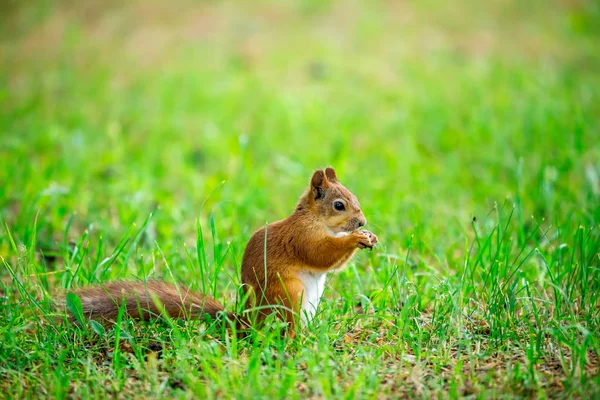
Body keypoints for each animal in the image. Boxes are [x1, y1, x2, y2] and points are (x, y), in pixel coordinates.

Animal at [70, 166, 378, 338]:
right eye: (339, 205)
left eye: (355, 198)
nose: (362, 222)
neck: (315, 218)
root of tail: (247, 322)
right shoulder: (301, 236)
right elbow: (320, 254)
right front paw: (355, 238)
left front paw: (368, 237)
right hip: (288, 294)